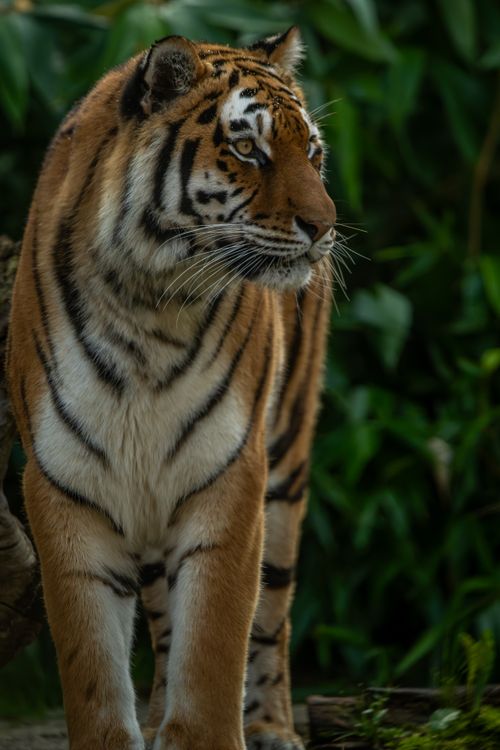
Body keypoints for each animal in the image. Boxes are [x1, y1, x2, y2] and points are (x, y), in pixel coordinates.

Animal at [6, 26, 336, 750]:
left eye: (312, 152)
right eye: (247, 149)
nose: (326, 228)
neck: (148, 307)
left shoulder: (229, 473)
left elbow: (213, 647)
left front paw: (209, 730)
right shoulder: (63, 481)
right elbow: (93, 670)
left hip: (286, 460)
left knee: (273, 611)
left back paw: (271, 725)